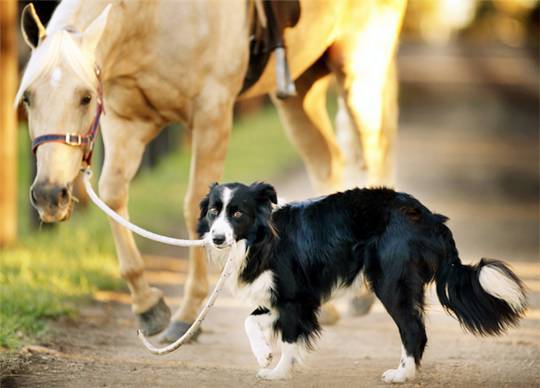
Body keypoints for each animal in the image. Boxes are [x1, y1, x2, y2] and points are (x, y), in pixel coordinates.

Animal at [15, 0, 404, 342]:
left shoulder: (211, 115)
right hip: (300, 88)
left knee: (372, 154)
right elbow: (113, 197)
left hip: (360, 69)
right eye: (27, 98)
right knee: (327, 160)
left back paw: (361, 296)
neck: (152, 17)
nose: (48, 195)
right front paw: (148, 307)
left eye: (84, 97)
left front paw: (188, 317)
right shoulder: (126, 121)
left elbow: (196, 207)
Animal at [196, 182, 524, 382]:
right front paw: (263, 354)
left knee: (413, 330)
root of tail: (430, 218)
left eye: (238, 212)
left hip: (391, 281)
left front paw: (278, 372)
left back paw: (401, 375)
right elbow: (249, 321)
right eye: (213, 211)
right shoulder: (282, 298)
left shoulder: (294, 298)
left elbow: (289, 339)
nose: (217, 238)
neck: (261, 239)